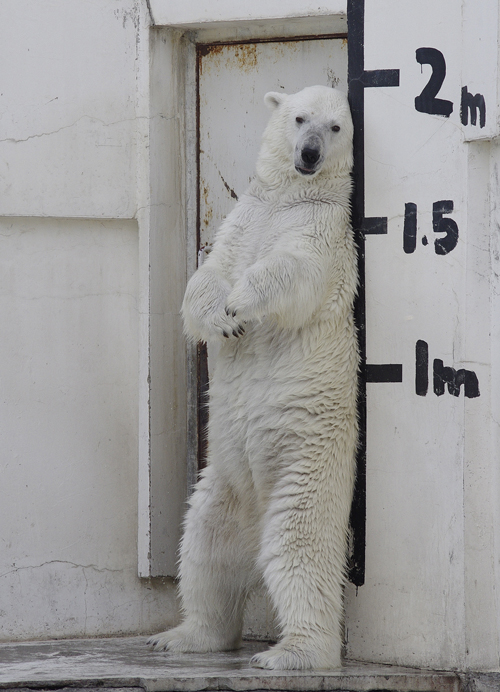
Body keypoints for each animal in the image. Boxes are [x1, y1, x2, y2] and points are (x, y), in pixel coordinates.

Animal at [148, 85, 360, 672]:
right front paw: (221, 316)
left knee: (298, 549)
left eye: (336, 127)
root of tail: (255, 517)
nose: (309, 154)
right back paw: (183, 635)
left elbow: (292, 271)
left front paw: (241, 304)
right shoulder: (242, 221)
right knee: (204, 550)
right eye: (300, 117)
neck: (290, 197)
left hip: (304, 466)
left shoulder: (323, 234)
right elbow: (205, 276)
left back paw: (292, 652)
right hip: (221, 482)